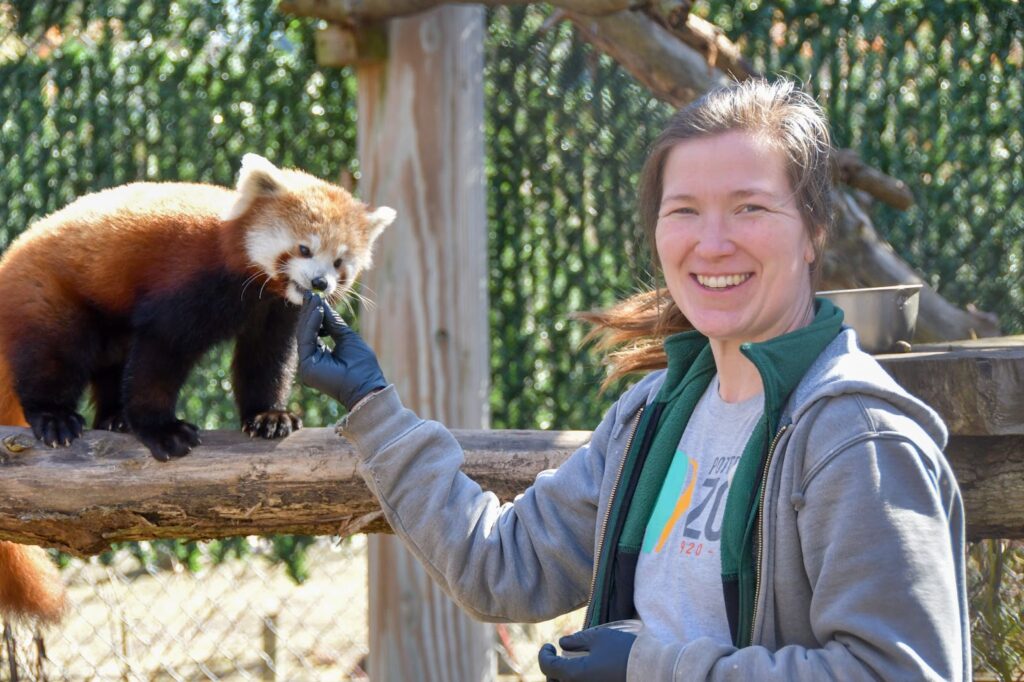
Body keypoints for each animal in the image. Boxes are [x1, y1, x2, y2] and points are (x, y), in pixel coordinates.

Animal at [0, 153, 395, 622]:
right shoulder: (188, 286)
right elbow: (159, 354)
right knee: (54, 355)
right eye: (304, 249)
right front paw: (161, 429)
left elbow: (266, 361)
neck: (255, 282)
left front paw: (269, 416)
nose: (320, 284)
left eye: (340, 263)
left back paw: (113, 420)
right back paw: (55, 417)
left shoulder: (273, 312)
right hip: (50, 297)